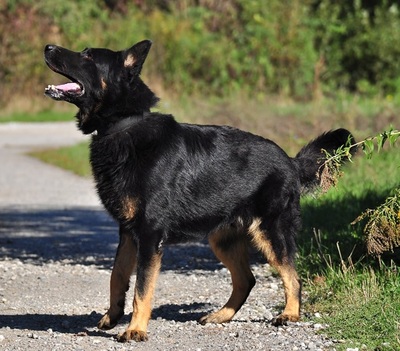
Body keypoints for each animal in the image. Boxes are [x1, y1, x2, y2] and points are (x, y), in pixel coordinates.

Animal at [42, 40, 352, 342]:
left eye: (88, 56)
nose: (47, 47)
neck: (124, 124)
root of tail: (290, 161)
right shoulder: (128, 233)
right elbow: (117, 276)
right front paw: (112, 316)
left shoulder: (149, 237)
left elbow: (142, 289)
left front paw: (136, 329)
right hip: (223, 240)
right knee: (246, 280)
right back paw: (221, 316)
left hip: (270, 233)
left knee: (292, 277)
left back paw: (289, 314)